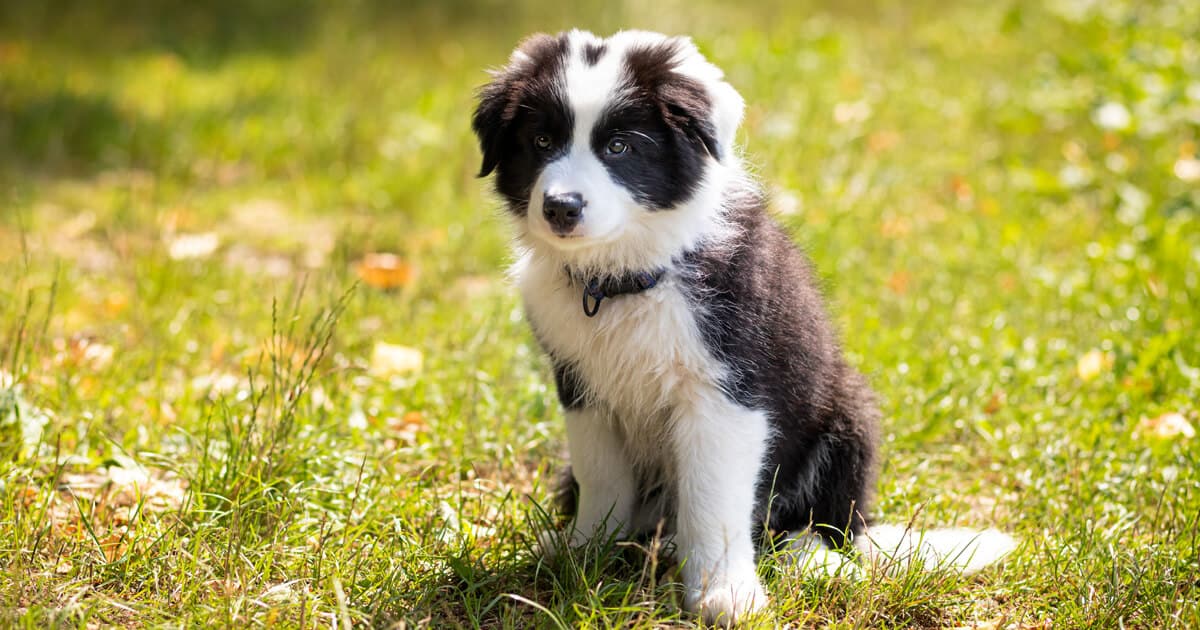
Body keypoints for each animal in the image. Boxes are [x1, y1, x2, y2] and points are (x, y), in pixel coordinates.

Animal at [468, 29, 1012, 624]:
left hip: (849, 416)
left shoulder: (727, 392)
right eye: (541, 141)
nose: (561, 207)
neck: (627, 278)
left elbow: (712, 501)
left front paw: (724, 596)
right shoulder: (582, 388)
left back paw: (813, 559)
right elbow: (602, 478)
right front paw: (585, 554)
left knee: (821, 524)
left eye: (619, 147)